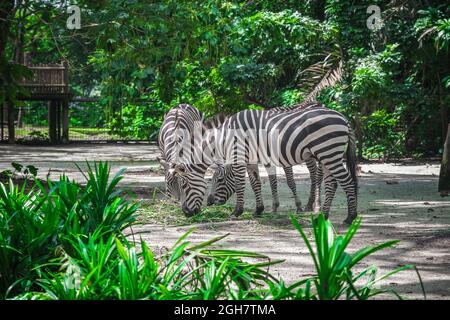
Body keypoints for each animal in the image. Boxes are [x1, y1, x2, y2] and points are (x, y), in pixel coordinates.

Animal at [172, 106, 358, 224]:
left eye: (184, 185)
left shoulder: (239, 157)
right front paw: (258, 210)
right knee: (332, 184)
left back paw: (350, 217)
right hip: (327, 155)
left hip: (328, 152)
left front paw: (236, 212)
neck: (223, 138)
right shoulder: (251, 160)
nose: (186, 213)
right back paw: (323, 216)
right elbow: (256, 184)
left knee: (347, 182)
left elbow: (240, 184)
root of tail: (343, 118)